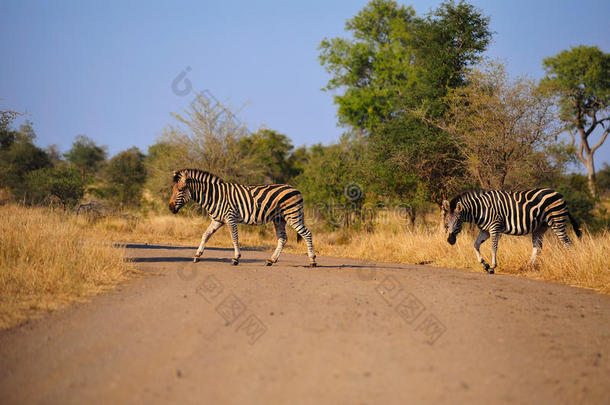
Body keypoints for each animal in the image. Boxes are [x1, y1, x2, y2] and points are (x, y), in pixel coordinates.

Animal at [169, 168, 316, 266]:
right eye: (173, 190)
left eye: (180, 190)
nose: (170, 208)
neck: (214, 196)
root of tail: (295, 189)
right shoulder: (217, 220)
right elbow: (205, 235)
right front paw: (197, 255)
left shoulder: (230, 217)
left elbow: (234, 238)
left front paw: (236, 258)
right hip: (279, 219)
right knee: (283, 239)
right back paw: (271, 260)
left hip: (292, 215)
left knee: (307, 233)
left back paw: (312, 261)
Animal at [442, 188, 580, 274]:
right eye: (447, 221)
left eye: (458, 221)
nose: (450, 240)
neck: (480, 210)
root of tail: (560, 195)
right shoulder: (485, 230)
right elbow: (475, 245)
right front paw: (484, 264)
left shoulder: (494, 227)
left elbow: (493, 247)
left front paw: (492, 267)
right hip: (540, 227)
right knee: (538, 248)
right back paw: (526, 267)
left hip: (557, 221)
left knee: (567, 243)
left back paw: (569, 263)